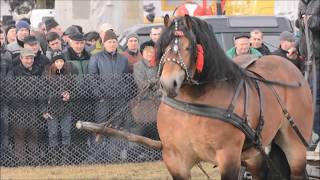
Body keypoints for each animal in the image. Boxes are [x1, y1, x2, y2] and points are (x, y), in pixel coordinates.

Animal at [156, 15, 314, 180]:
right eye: (164, 48)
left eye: (188, 48)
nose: (168, 83)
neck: (190, 106)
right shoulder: (175, 160)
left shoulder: (229, 156)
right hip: (255, 153)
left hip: (295, 145)